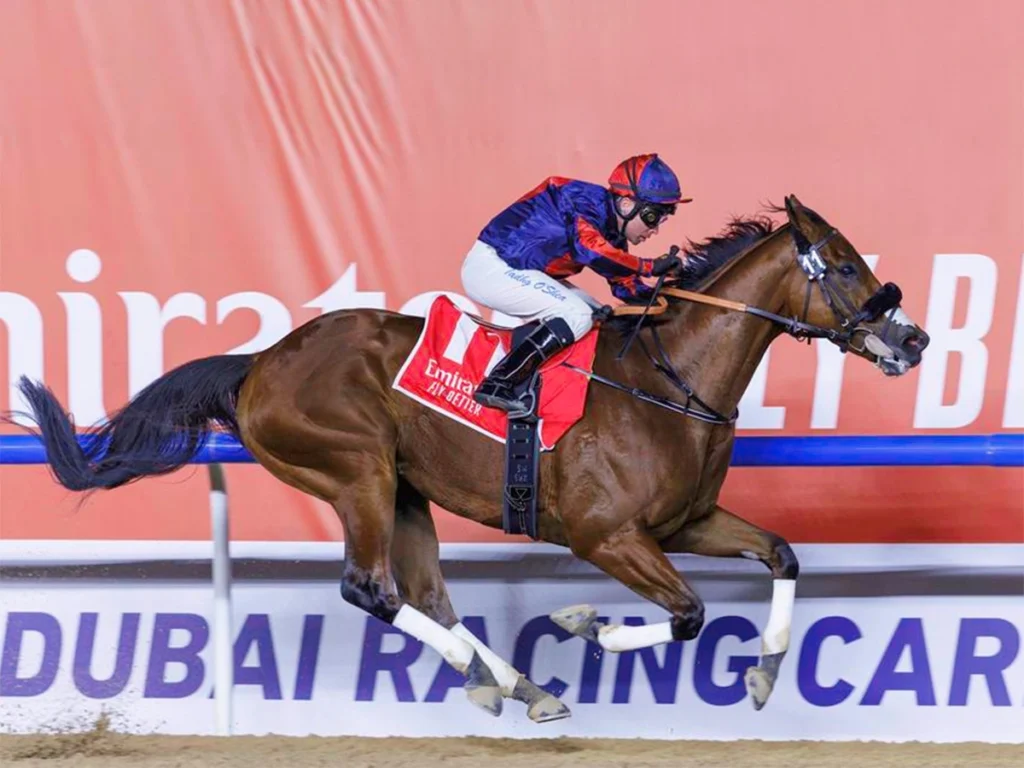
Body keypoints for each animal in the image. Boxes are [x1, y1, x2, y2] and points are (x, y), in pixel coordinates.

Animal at [14, 194, 929, 723]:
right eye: (844, 264)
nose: (913, 338)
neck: (670, 381)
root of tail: (260, 362)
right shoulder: (607, 536)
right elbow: (688, 613)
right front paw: (589, 625)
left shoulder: (687, 523)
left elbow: (781, 554)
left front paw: (766, 676)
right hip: (357, 472)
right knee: (369, 589)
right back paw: (486, 674)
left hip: (406, 489)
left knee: (426, 595)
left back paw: (518, 685)